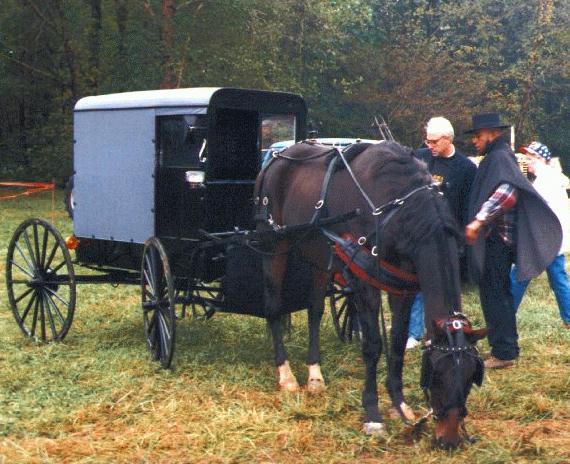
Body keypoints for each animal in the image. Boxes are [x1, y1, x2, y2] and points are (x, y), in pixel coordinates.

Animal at [255, 140, 486, 446]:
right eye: (436, 373)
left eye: (471, 377)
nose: (448, 441)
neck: (396, 207)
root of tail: (278, 156)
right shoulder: (364, 284)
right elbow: (374, 346)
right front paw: (373, 414)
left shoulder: (403, 288)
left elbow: (397, 343)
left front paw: (400, 404)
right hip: (274, 247)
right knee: (273, 307)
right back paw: (286, 375)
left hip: (318, 255)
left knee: (315, 310)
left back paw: (314, 374)